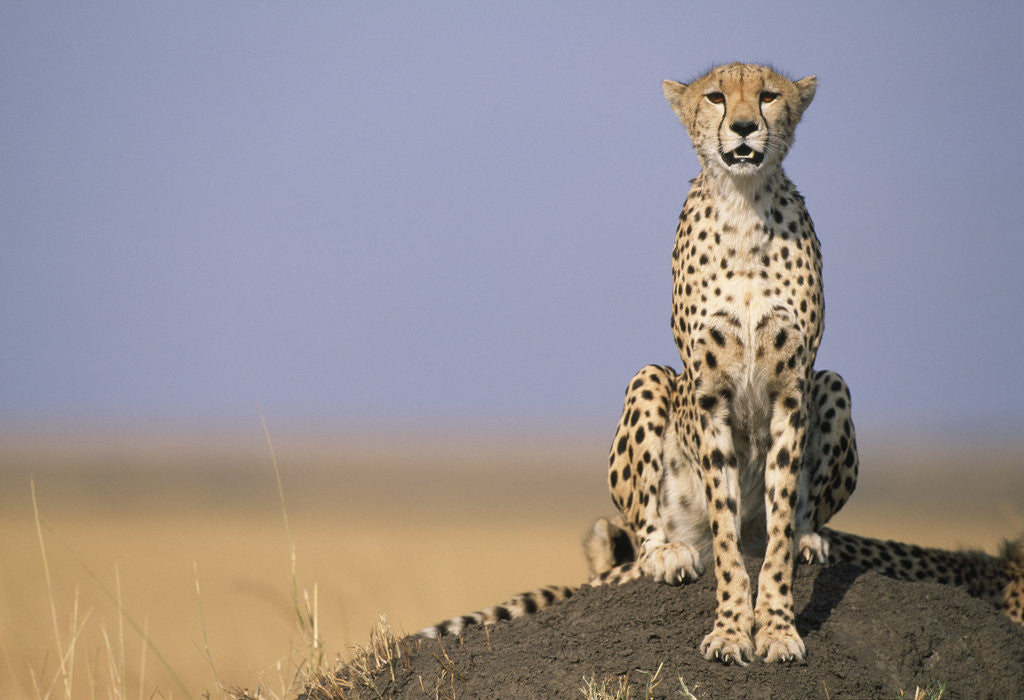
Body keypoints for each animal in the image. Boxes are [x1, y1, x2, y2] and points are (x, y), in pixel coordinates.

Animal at [419, 63, 1024, 662]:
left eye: (768, 95)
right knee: (650, 532)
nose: (743, 127)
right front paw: (733, 631)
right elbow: (726, 535)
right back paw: (667, 554)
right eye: (715, 97)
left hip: (831, 384)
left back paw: (810, 540)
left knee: (797, 512)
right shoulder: (709, 394)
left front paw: (776, 627)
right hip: (651, 384)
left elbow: (777, 528)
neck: (745, 207)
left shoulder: (792, 390)